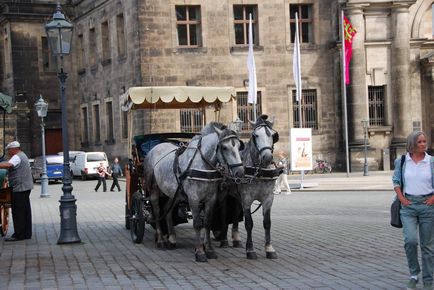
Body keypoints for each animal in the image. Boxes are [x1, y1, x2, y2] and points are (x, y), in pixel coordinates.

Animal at [142, 122, 244, 262]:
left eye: (239, 146)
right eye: (224, 147)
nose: (240, 172)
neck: (202, 165)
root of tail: (155, 147)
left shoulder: (211, 198)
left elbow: (207, 223)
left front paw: (209, 250)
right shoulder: (194, 198)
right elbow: (197, 224)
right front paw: (200, 252)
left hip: (173, 193)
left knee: (168, 211)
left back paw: (172, 239)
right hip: (154, 190)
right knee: (157, 212)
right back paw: (161, 241)